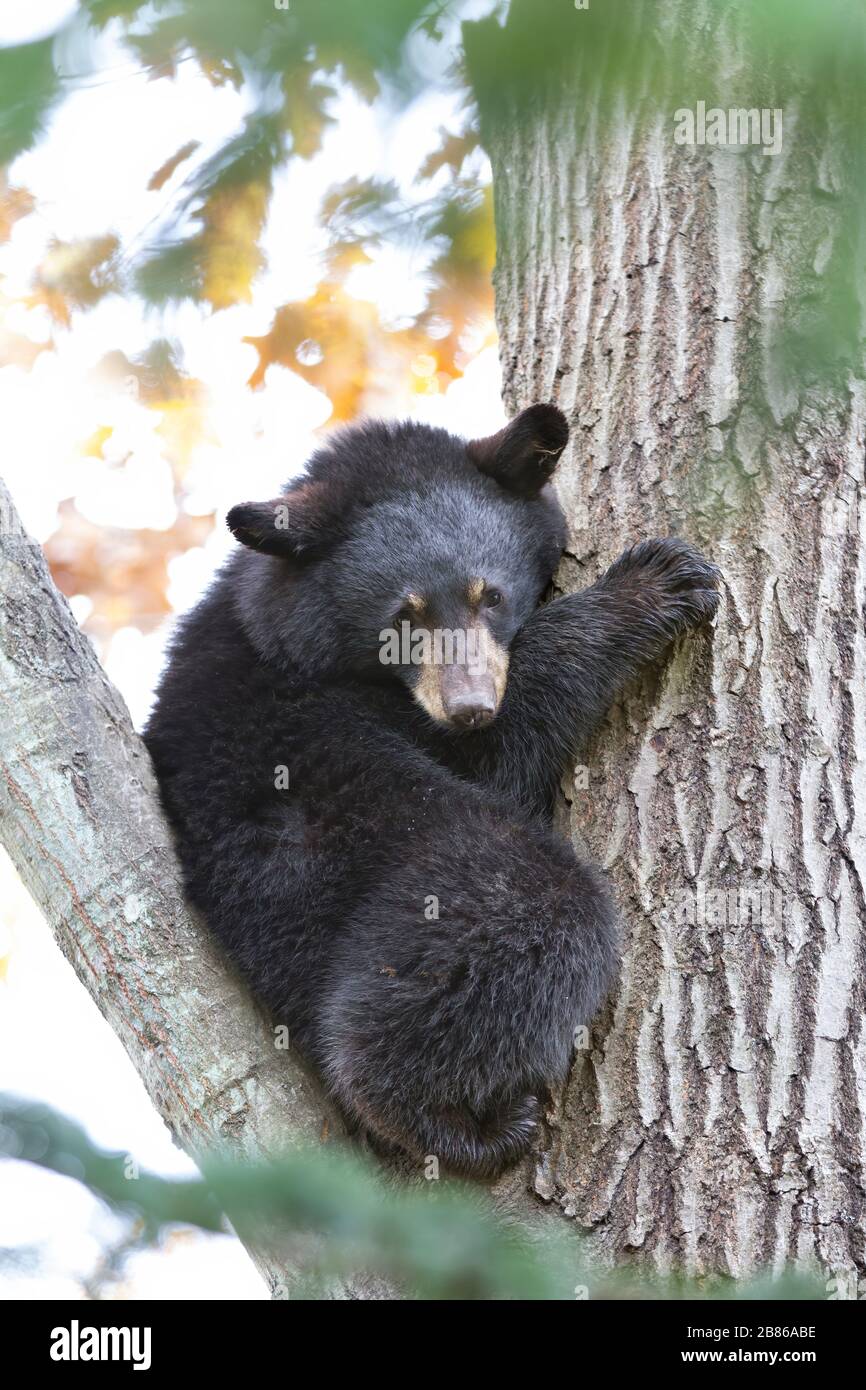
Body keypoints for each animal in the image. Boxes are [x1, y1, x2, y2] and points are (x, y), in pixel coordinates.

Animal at [144, 403, 719, 1178]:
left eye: (490, 596)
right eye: (403, 616)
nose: (470, 705)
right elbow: (510, 740)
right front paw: (654, 585)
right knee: (529, 915)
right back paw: (451, 1123)